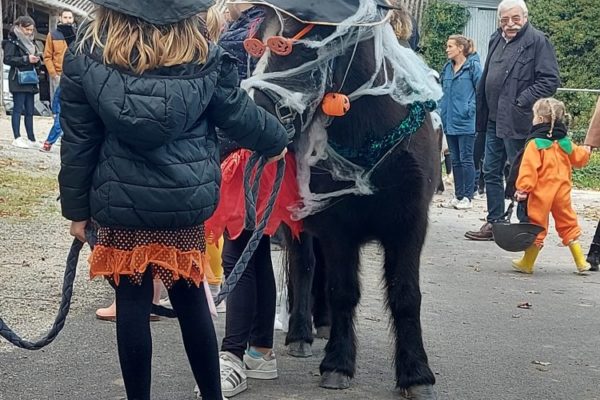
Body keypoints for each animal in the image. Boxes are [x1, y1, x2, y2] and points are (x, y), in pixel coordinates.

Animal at [248, 5, 440, 396]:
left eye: (296, 46)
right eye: (256, 44)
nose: (254, 111)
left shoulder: (410, 225)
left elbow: (406, 295)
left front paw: (416, 373)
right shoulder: (339, 230)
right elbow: (343, 291)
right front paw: (338, 364)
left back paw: (322, 323)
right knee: (305, 266)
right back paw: (302, 334)